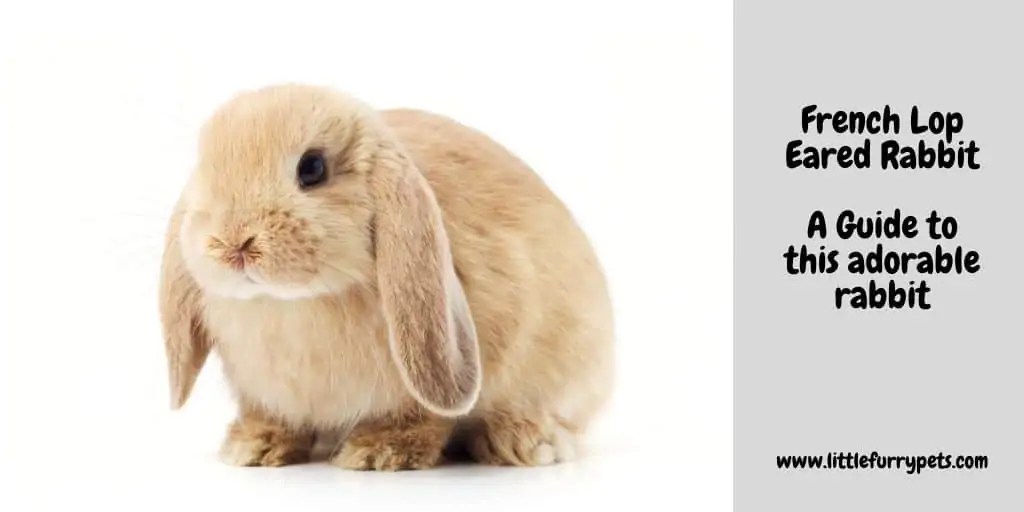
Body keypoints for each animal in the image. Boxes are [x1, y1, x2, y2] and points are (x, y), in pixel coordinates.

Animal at [159, 83, 614, 471]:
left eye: (312, 168)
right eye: (205, 170)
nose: (231, 243)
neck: (292, 303)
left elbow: (423, 415)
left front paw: (379, 451)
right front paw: (254, 446)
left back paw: (527, 441)